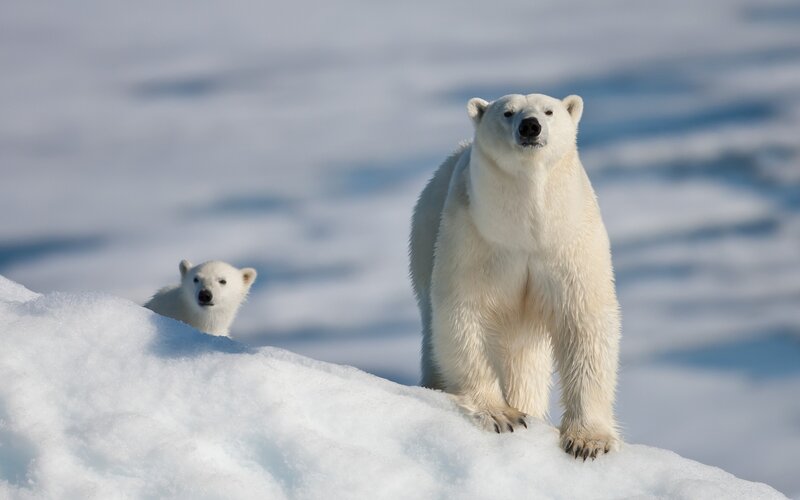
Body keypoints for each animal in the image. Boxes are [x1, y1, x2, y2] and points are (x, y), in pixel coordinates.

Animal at [409, 92, 620, 459]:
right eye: (507, 113)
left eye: (549, 111)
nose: (530, 126)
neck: (526, 229)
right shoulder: (476, 237)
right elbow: (465, 314)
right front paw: (502, 415)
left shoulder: (568, 241)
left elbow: (585, 322)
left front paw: (587, 441)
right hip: (424, 242)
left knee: (525, 360)